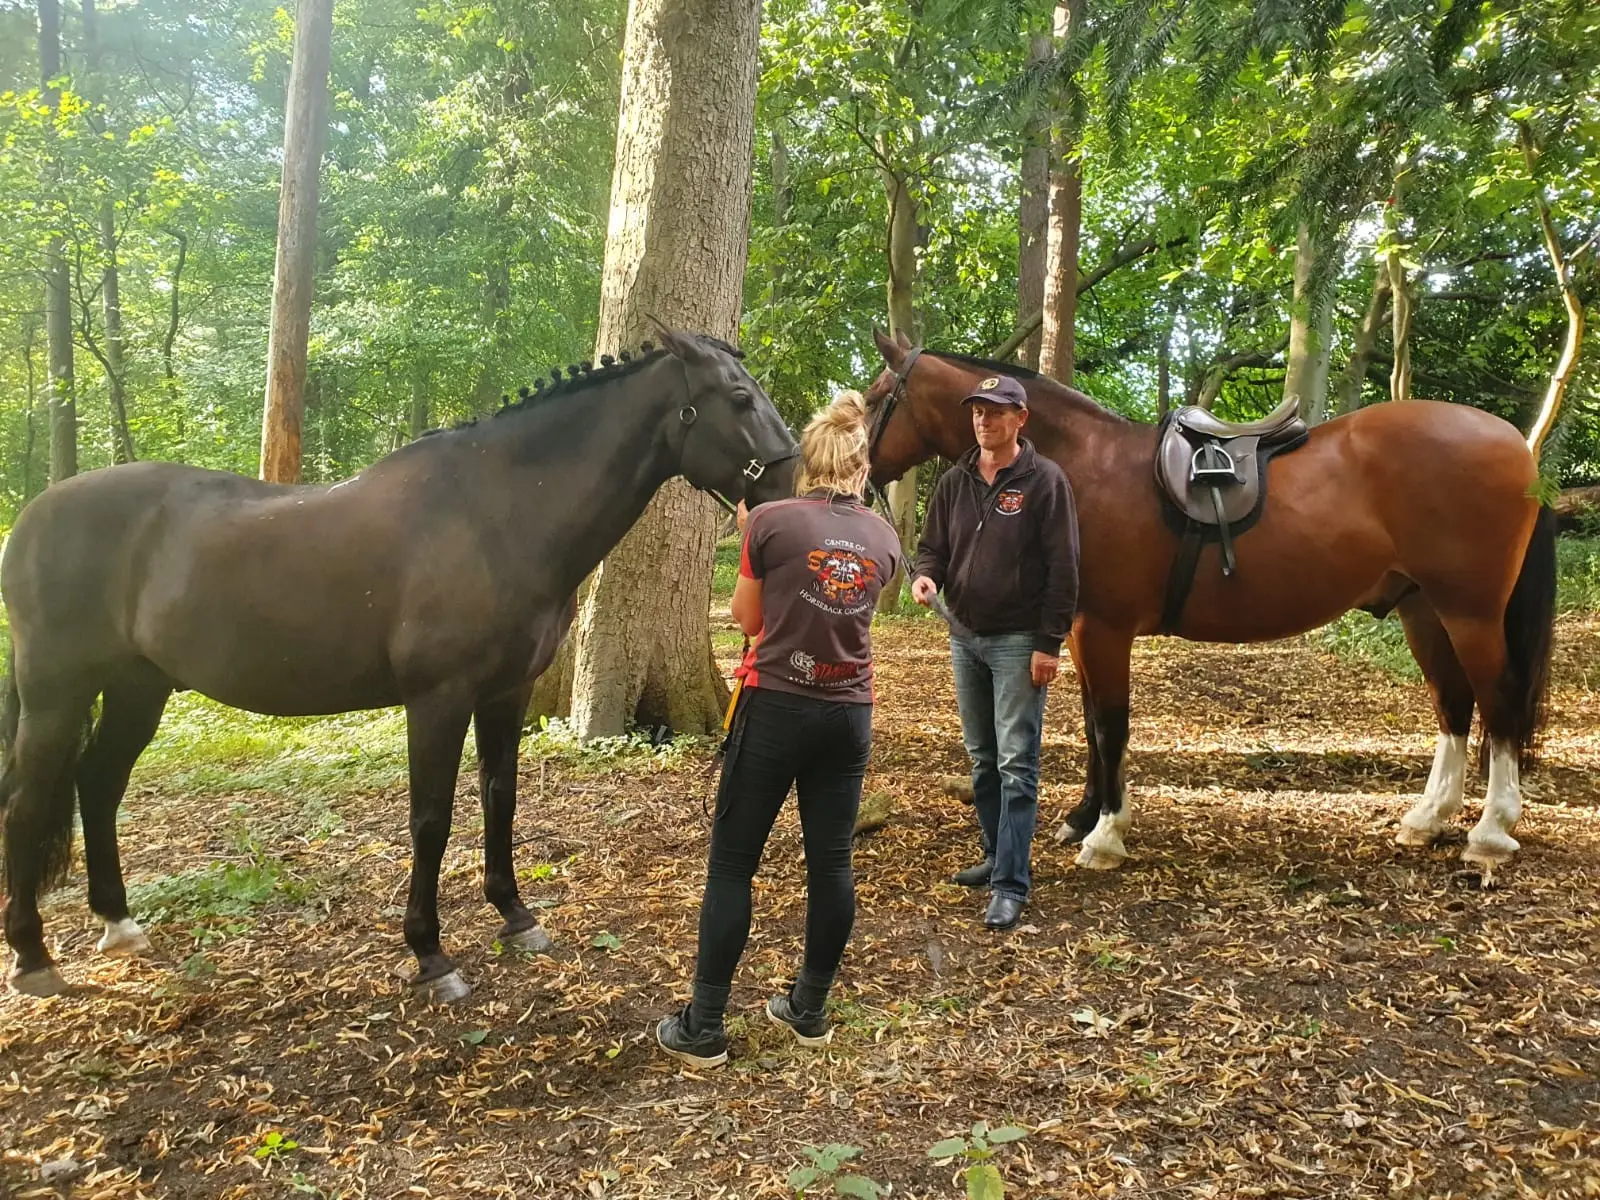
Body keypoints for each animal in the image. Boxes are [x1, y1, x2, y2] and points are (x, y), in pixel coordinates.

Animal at [0, 328, 798, 1003]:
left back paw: (118, 923)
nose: (790, 494)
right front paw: (430, 954)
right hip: (56, 695)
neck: (497, 515)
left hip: (139, 687)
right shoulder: (437, 699)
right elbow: (431, 818)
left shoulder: (505, 694)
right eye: (739, 398)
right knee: (27, 804)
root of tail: (33, 515)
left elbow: (500, 798)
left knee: (98, 785)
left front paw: (515, 915)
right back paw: (34, 958)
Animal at [861, 328, 1556, 877]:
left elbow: (1110, 725)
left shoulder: (1104, 630)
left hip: (1469, 612)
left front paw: (1106, 835)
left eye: (872, 400)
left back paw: (1490, 832)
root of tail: (1514, 445)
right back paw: (1428, 818)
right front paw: (1083, 817)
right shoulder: (1081, 629)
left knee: (1499, 702)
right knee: (1454, 705)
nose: (857, 477)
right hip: (1423, 610)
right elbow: (1090, 725)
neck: (1080, 468)